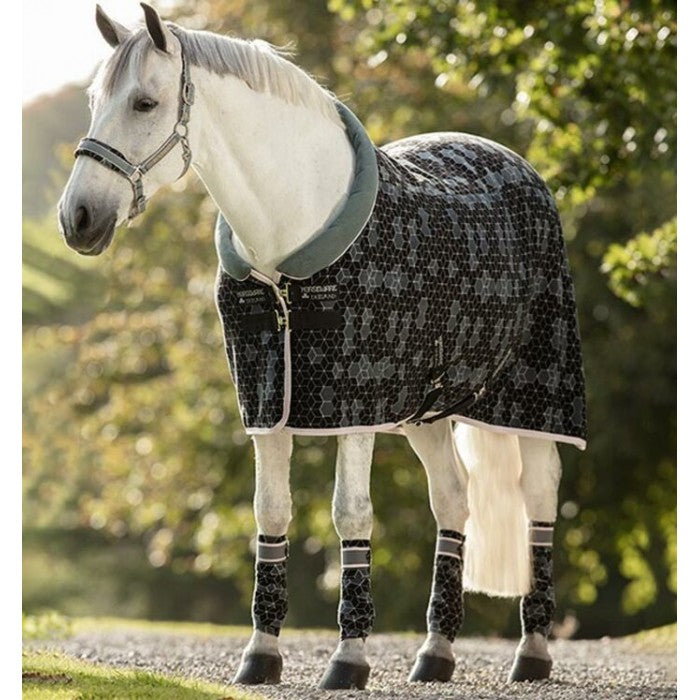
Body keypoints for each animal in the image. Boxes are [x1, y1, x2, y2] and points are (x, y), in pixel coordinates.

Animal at [57, 3, 587, 690]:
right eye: (95, 101)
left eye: (145, 102)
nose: (78, 219)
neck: (287, 237)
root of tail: (518, 166)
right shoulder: (267, 402)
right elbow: (271, 513)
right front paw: (259, 657)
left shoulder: (354, 405)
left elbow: (351, 514)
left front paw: (348, 661)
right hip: (425, 412)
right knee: (453, 498)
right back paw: (435, 655)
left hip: (534, 402)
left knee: (540, 499)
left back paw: (532, 654)